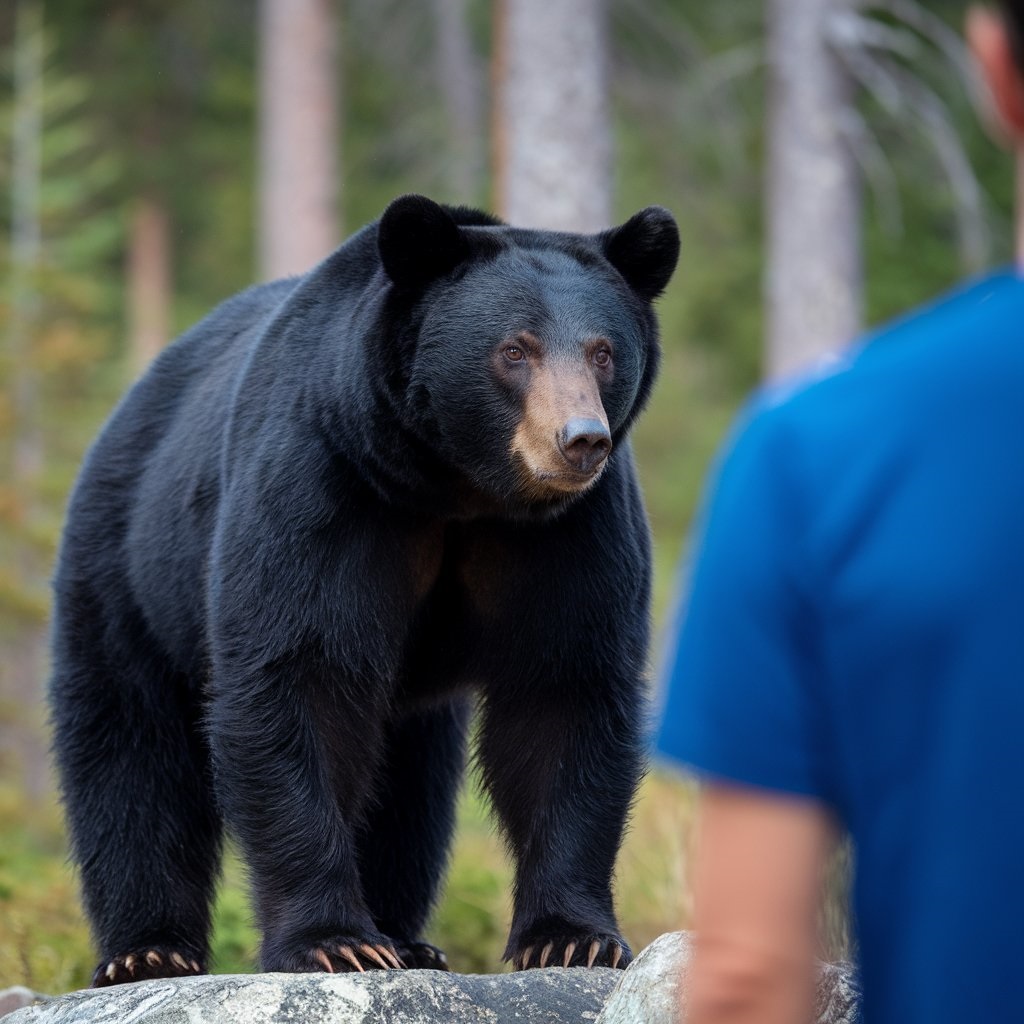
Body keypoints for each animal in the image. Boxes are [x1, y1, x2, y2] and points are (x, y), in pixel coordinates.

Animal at [49, 192, 679, 983]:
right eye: (515, 350)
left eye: (602, 351)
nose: (580, 439)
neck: (457, 487)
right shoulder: (326, 489)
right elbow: (300, 682)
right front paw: (334, 940)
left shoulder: (571, 535)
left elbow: (565, 694)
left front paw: (573, 937)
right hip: (129, 569)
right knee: (130, 747)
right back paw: (148, 950)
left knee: (411, 783)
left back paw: (407, 936)